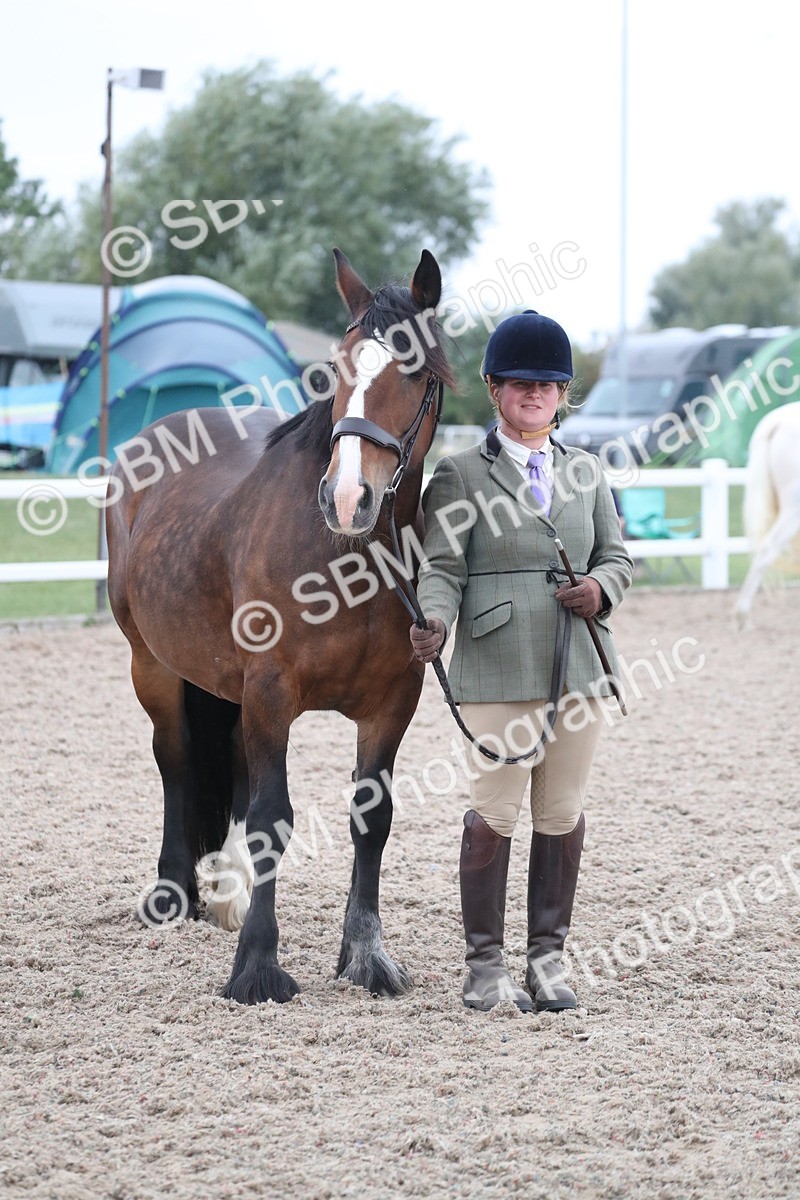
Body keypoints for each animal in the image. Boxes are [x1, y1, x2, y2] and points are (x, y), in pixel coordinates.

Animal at [106, 248, 457, 1005]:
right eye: (337, 367)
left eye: (417, 372)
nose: (348, 498)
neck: (343, 557)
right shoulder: (271, 691)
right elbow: (273, 818)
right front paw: (258, 967)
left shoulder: (393, 702)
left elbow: (371, 819)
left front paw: (365, 957)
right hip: (153, 666)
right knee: (177, 763)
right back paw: (172, 893)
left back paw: (226, 893)